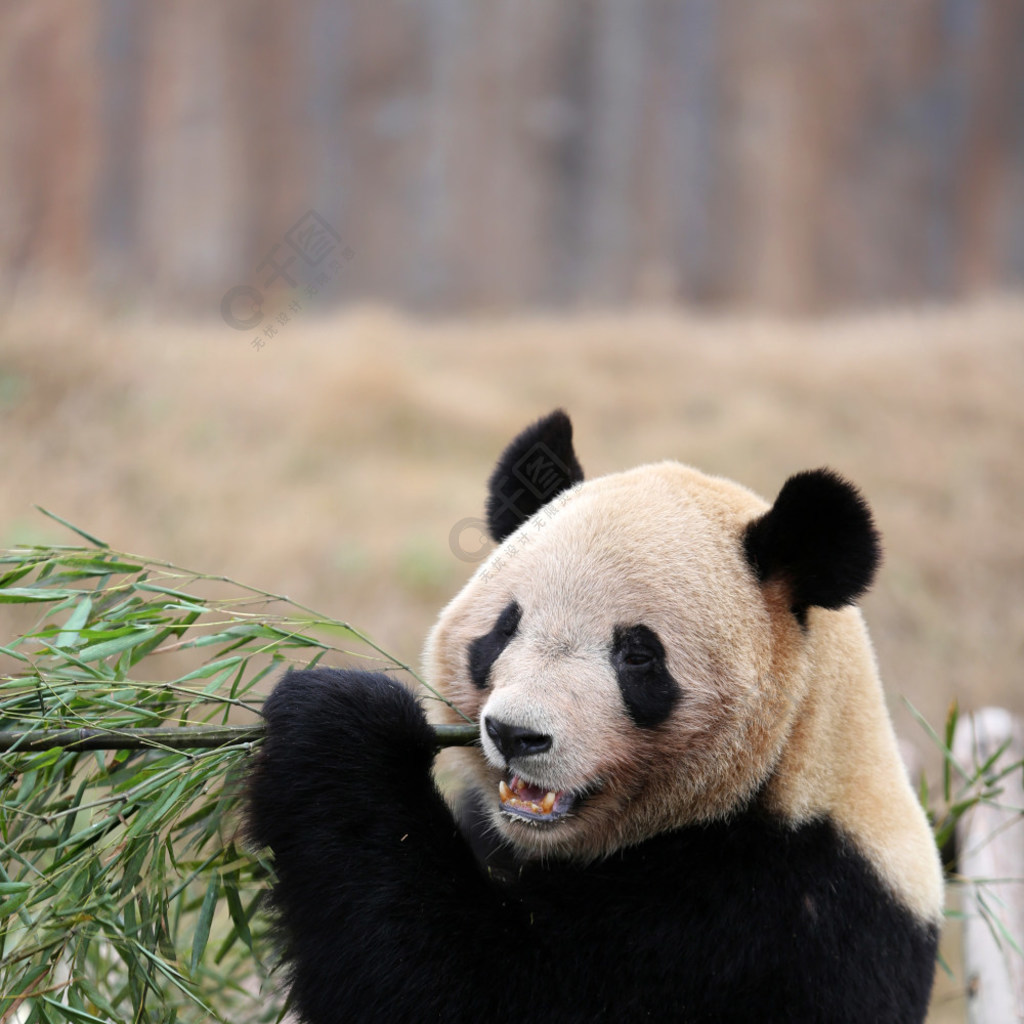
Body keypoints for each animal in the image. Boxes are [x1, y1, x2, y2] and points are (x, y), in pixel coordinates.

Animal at [249, 407, 942, 1024]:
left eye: (637, 655)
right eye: (505, 627)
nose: (515, 734)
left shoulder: (764, 915)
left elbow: (470, 989)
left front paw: (339, 720)